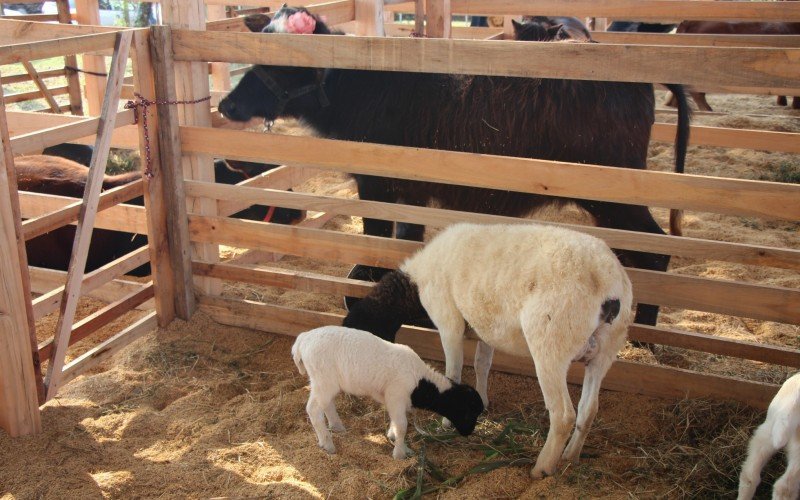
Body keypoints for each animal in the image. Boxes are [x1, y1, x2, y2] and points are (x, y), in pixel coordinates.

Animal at [290, 326, 484, 458]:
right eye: (467, 412)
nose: (468, 433)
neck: (420, 382)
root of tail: (303, 340)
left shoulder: (392, 399)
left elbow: (395, 421)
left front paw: (392, 437)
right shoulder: (396, 395)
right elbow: (402, 425)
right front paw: (400, 453)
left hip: (323, 381)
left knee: (326, 404)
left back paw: (337, 427)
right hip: (323, 378)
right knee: (313, 409)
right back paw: (327, 444)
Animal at [344, 223, 632, 476]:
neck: (416, 283)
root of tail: (608, 284)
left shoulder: (448, 322)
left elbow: (453, 372)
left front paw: (447, 421)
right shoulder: (485, 328)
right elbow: (482, 364)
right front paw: (482, 401)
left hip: (552, 344)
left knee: (562, 415)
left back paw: (542, 469)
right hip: (605, 351)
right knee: (589, 409)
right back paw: (570, 457)